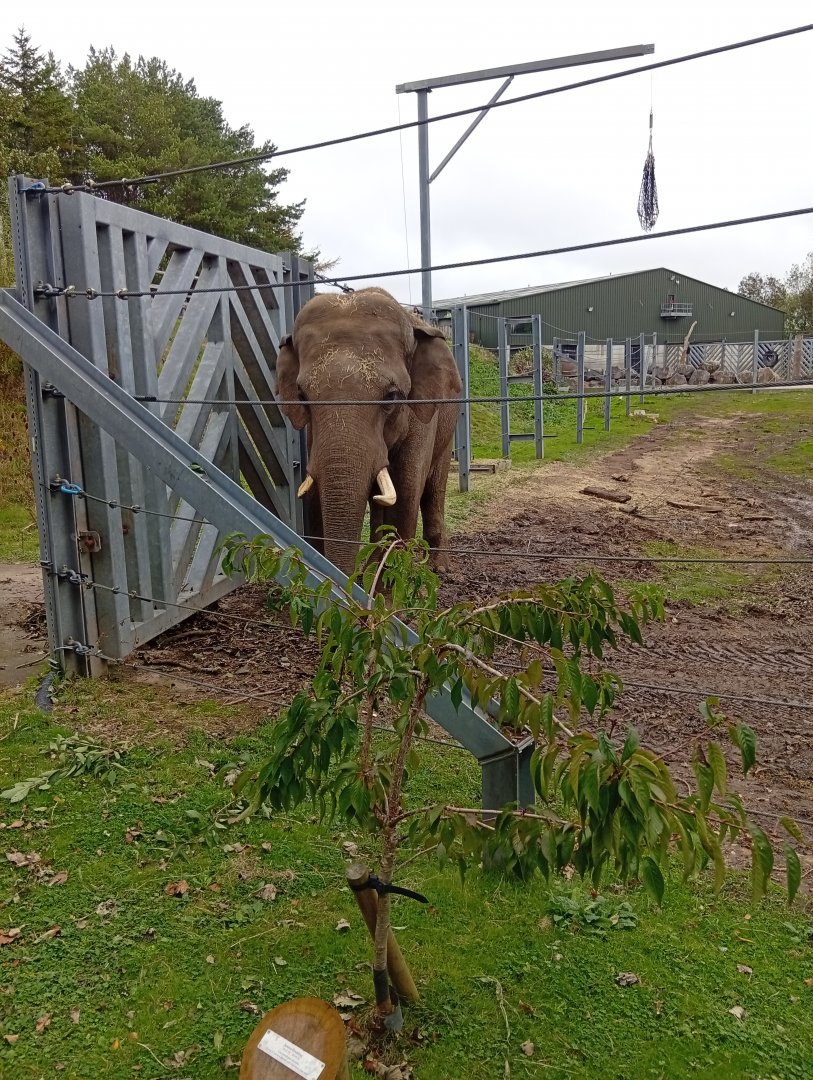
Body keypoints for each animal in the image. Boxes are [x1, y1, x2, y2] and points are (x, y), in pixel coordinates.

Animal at [276, 287, 463, 576]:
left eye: (392, 396)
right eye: (302, 396)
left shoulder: (421, 418)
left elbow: (406, 491)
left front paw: (379, 587)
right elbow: (316, 495)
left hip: (448, 427)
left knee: (433, 488)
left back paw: (439, 567)